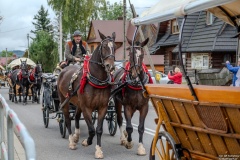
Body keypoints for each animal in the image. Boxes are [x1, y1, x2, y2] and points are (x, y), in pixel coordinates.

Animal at [56, 30, 116, 159]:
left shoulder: (103, 107)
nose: (110, 66)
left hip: (78, 103)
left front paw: (98, 150)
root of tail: (63, 71)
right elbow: (91, 130)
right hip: (64, 101)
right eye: (104, 46)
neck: (95, 80)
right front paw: (86, 142)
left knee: (76, 117)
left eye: (114, 47)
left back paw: (76, 136)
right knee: (67, 120)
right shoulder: (87, 107)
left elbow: (98, 129)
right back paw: (71, 142)